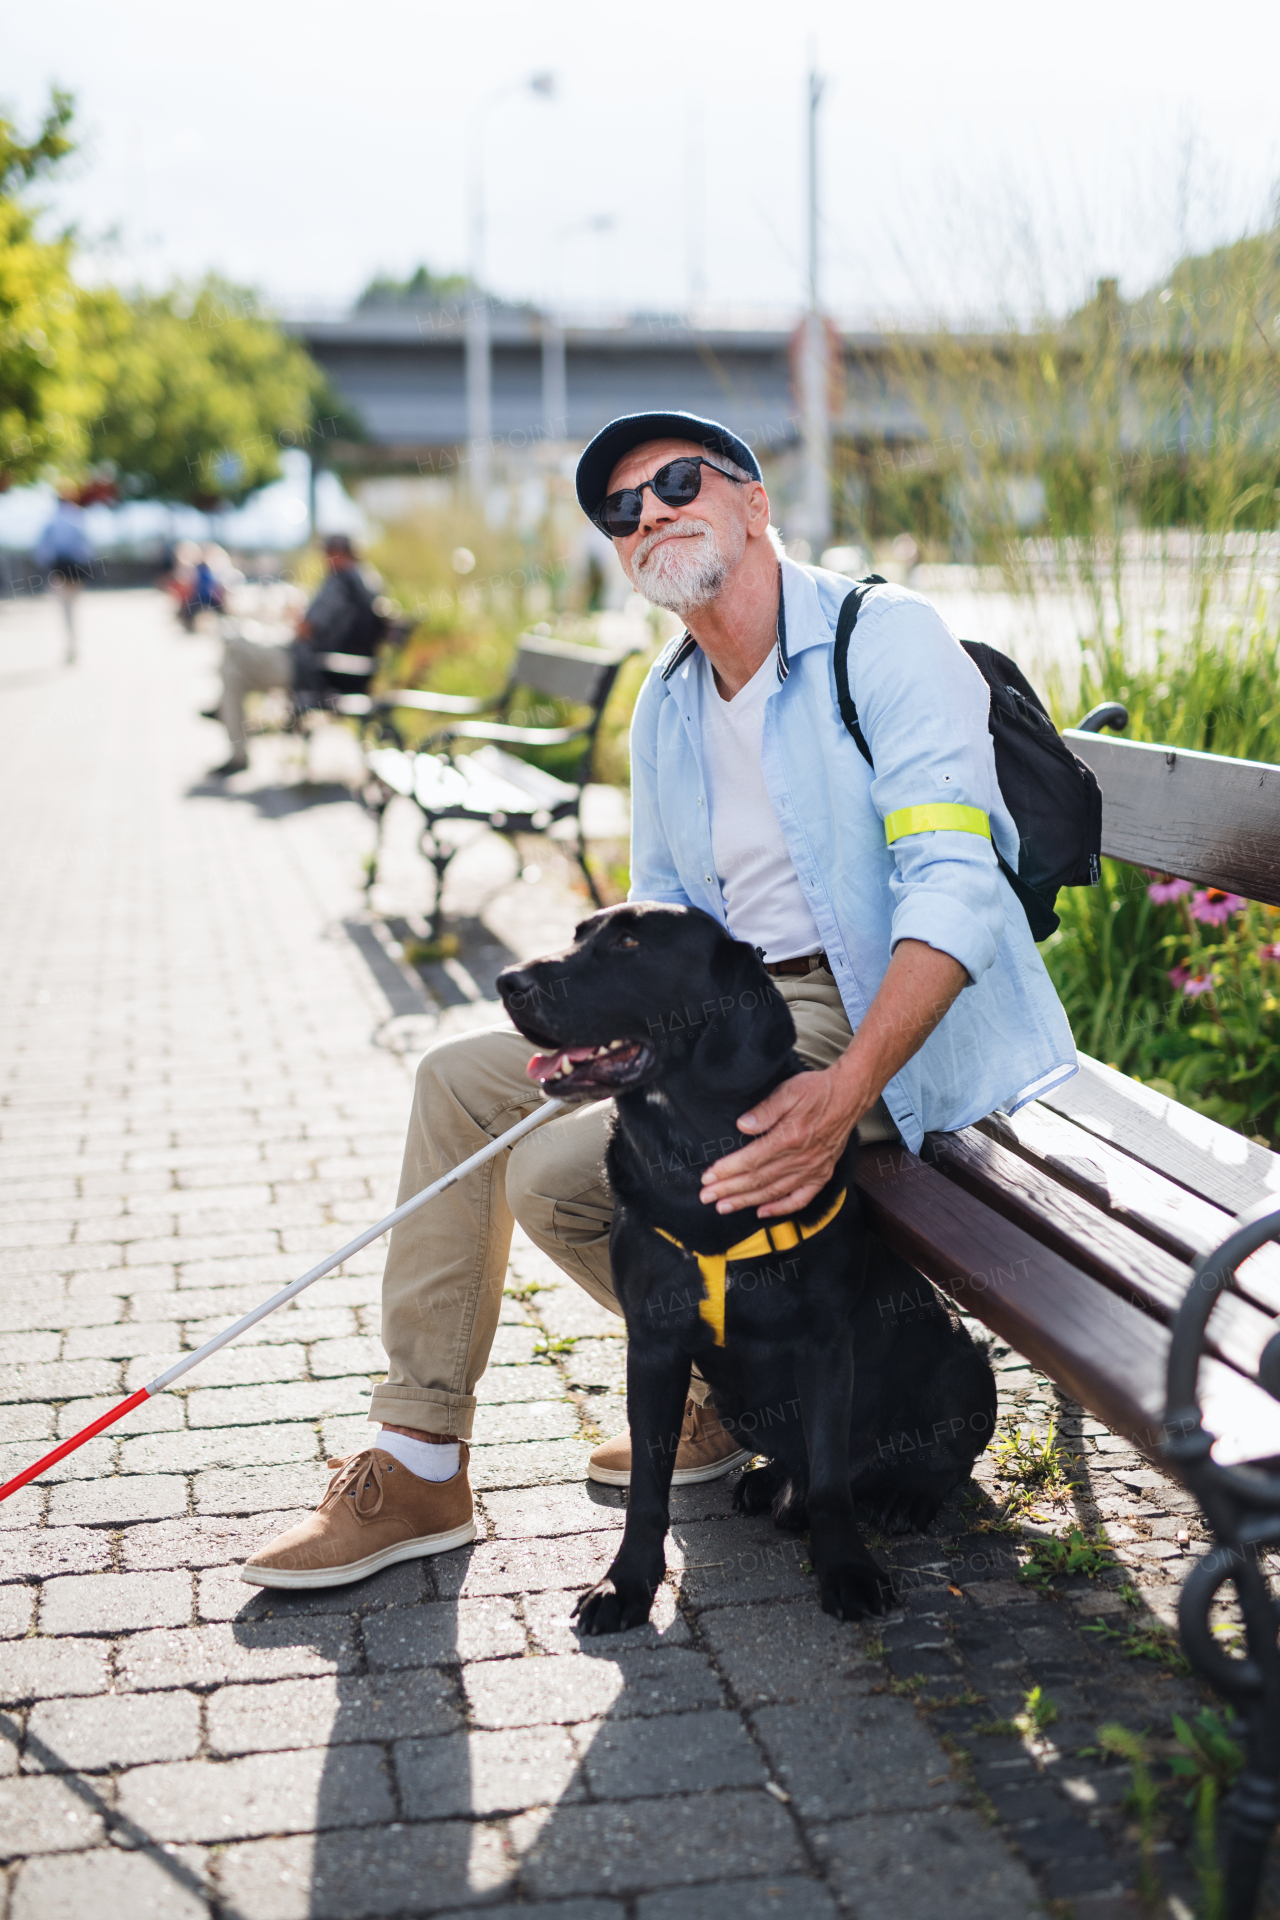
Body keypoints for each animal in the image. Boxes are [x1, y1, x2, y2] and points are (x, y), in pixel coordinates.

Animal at [495, 906, 997, 1628]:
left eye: (629, 942)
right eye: (577, 934)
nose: (507, 981)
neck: (697, 1158)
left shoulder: (824, 1344)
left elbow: (832, 1483)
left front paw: (847, 1572)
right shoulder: (653, 1345)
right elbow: (648, 1488)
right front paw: (627, 1583)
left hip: (966, 1361)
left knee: (934, 1462)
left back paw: (904, 1496)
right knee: (796, 1465)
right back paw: (768, 1483)